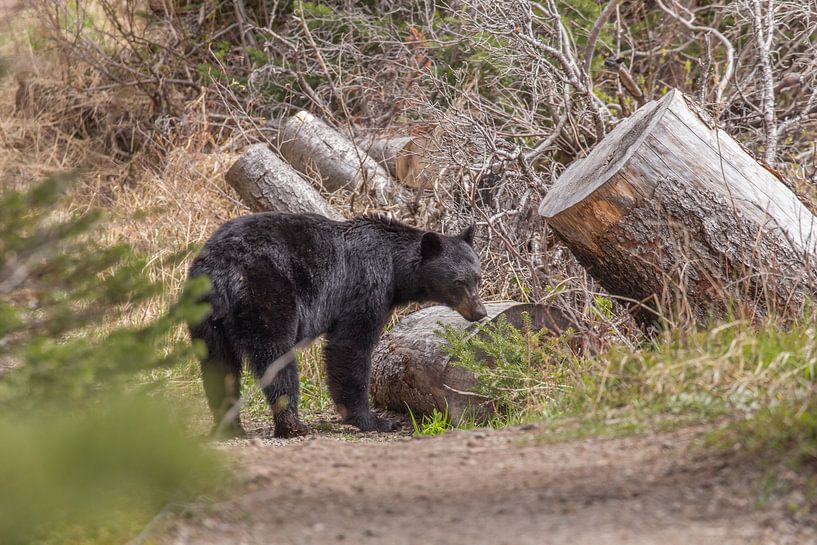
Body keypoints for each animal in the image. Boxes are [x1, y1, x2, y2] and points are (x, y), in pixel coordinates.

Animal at [187, 212, 486, 438]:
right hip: (267, 295)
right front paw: (375, 420)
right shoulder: (367, 286)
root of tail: (223, 270)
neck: (395, 268)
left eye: (477, 277)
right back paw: (292, 425)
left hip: (205, 314)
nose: (480, 312)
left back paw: (231, 427)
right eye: (459, 281)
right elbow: (350, 345)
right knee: (276, 357)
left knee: (219, 366)